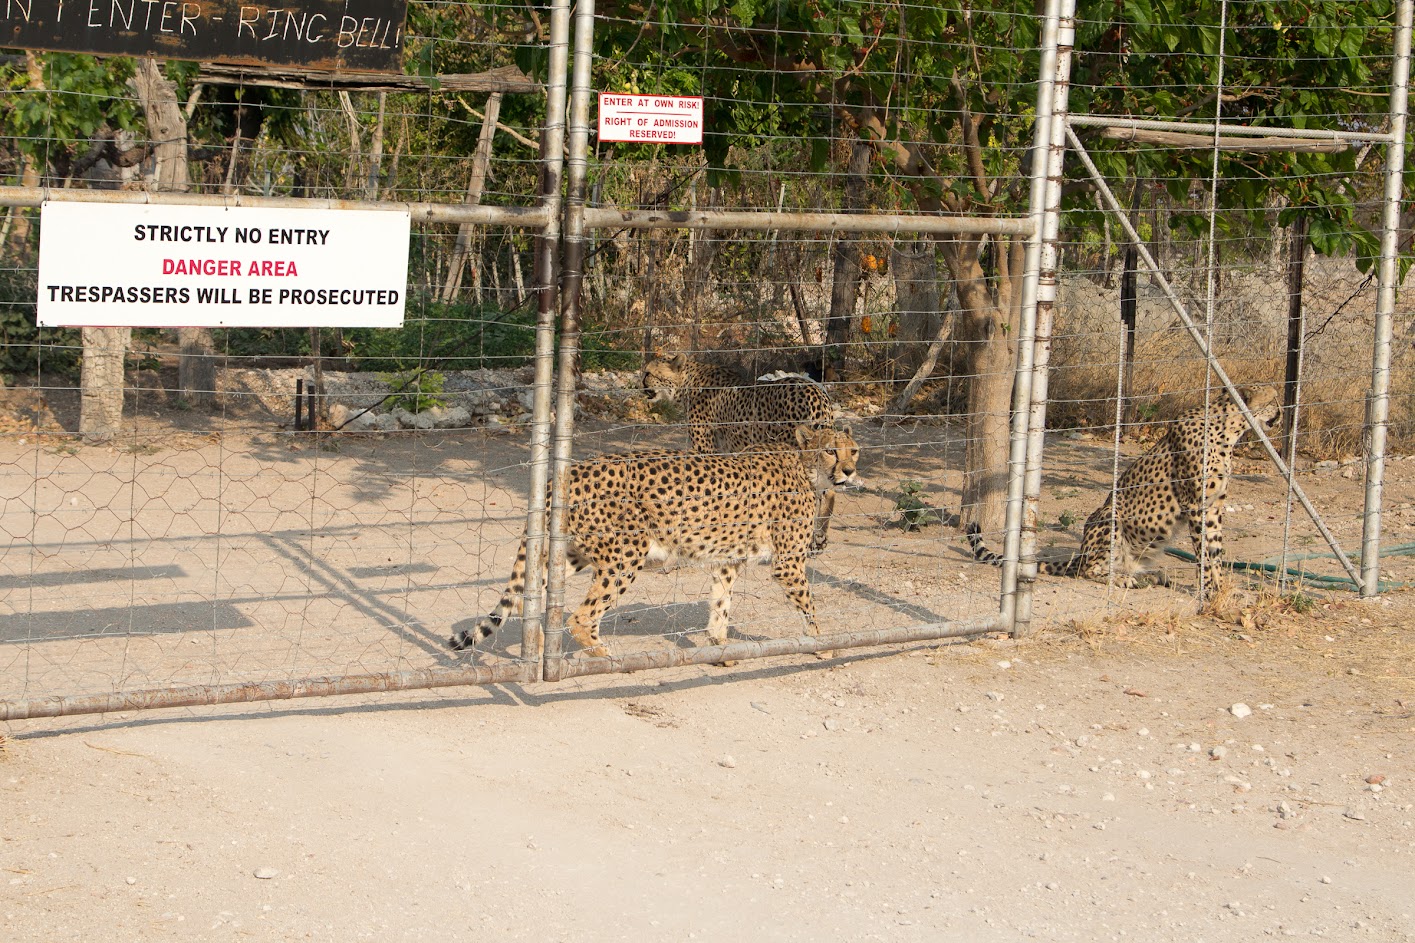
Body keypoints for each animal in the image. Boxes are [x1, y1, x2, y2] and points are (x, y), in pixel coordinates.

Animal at [449, 421, 860, 656]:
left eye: (852, 450)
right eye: (830, 449)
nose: (850, 471)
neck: (805, 465)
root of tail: (570, 471)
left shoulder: (728, 559)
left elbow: (721, 603)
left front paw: (719, 644)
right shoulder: (788, 564)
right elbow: (809, 607)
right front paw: (823, 645)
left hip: (572, 553)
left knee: (527, 597)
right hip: (625, 555)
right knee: (581, 616)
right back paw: (603, 654)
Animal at [642, 352, 849, 552]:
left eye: (648, 373)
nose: (641, 385)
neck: (688, 382)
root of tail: (814, 390)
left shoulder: (705, 448)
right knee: (828, 490)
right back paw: (819, 539)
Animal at [973, 385, 1284, 594]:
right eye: (1274, 399)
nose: (1282, 415)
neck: (1229, 430)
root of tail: (1080, 555)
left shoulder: (1215, 506)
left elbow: (1216, 550)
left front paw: (1222, 587)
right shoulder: (1197, 505)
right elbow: (1205, 553)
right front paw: (1209, 588)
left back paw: (1150, 576)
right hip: (1108, 517)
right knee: (1088, 570)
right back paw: (1123, 578)